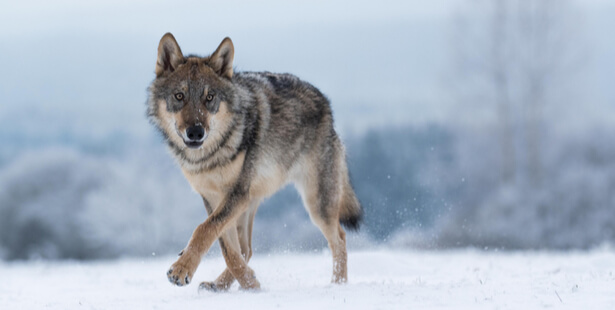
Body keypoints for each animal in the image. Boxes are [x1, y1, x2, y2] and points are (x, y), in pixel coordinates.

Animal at [147, 32, 364, 290]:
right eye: (179, 96)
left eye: (209, 98)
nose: (196, 132)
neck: (210, 156)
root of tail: (326, 105)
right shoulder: (213, 197)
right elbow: (225, 247)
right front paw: (250, 283)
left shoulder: (236, 193)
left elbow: (204, 229)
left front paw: (181, 270)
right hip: (251, 203)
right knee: (246, 249)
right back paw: (222, 285)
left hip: (315, 203)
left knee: (339, 238)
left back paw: (338, 284)